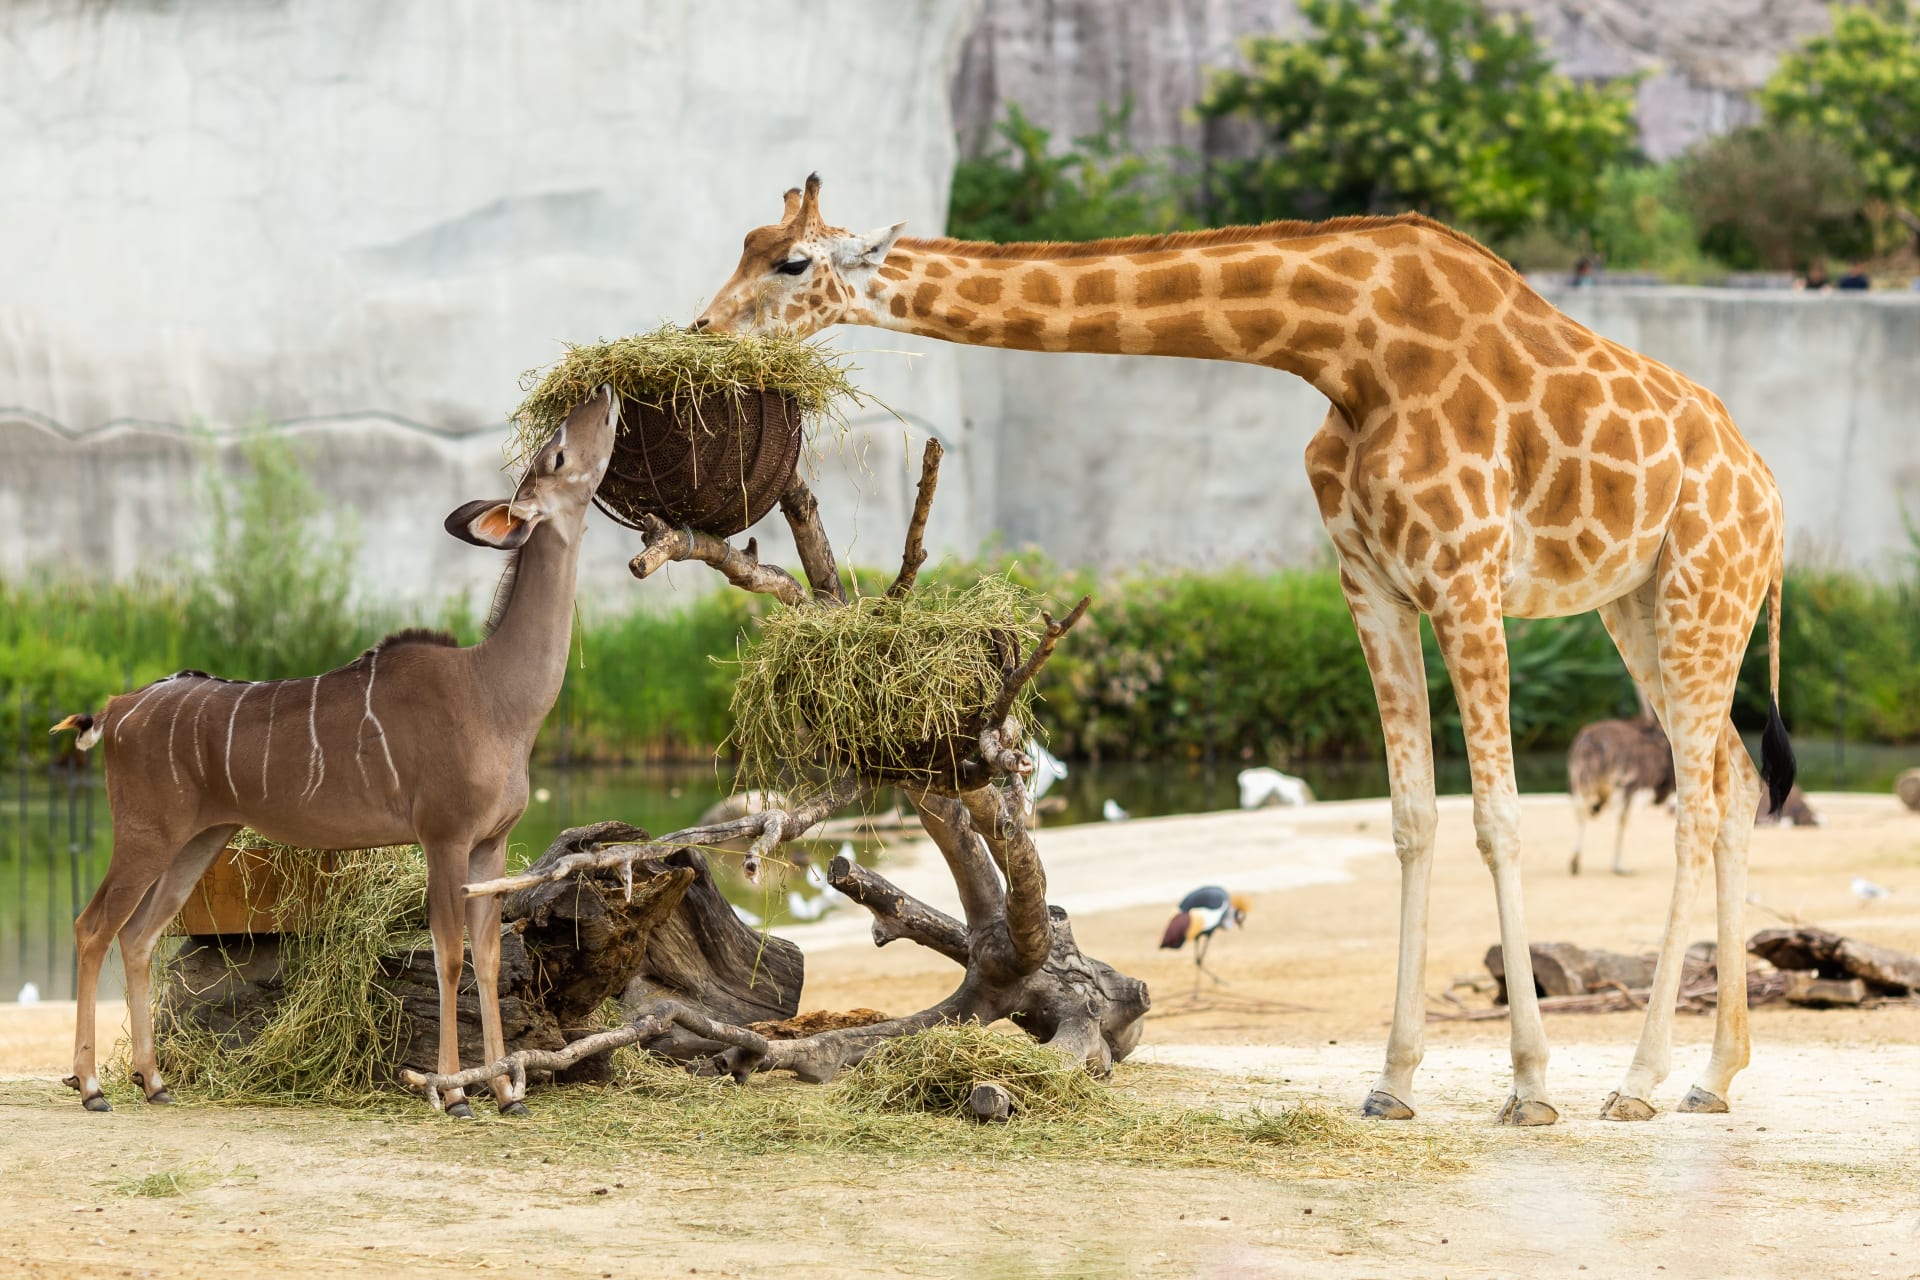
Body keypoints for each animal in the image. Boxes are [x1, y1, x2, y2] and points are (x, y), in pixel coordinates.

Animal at [694, 176, 1794, 1126]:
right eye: (744, 244)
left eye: (792, 260)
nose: (702, 332)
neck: (1345, 347)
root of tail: (1772, 496)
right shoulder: (1371, 580)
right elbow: (1410, 817)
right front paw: (1393, 1081)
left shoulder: (1466, 575)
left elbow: (1499, 817)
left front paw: (1529, 1086)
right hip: (1638, 605)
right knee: (1736, 782)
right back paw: (1715, 1076)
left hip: (1702, 586)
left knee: (1698, 801)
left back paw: (1641, 1081)